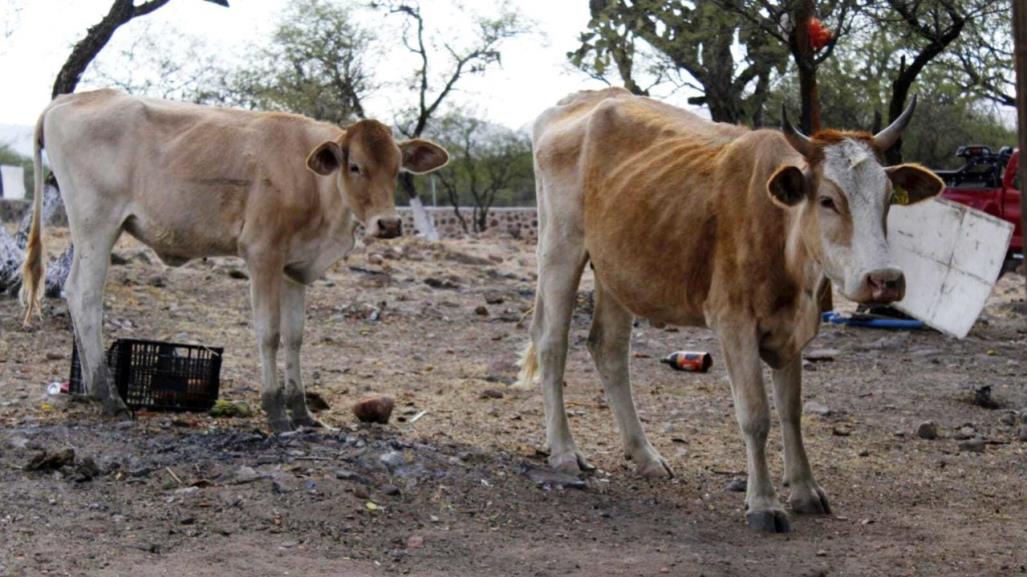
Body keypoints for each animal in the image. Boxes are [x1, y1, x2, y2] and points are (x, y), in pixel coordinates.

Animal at [20, 88, 445, 431]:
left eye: (397, 169)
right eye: (355, 166)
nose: (389, 223)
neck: (316, 186)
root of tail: (71, 98)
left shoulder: (295, 270)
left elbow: (294, 337)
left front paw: (302, 412)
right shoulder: (262, 255)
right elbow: (269, 334)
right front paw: (275, 412)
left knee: (74, 294)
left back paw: (90, 392)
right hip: (97, 225)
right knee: (85, 296)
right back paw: (109, 398)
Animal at [517, 87, 940, 533]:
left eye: (888, 199)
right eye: (827, 200)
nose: (885, 279)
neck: (782, 235)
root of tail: (584, 98)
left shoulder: (792, 329)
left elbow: (791, 411)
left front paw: (805, 490)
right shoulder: (734, 323)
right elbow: (756, 414)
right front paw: (764, 503)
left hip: (618, 268)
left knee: (609, 349)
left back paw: (645, 455)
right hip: (561, 247)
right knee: (552, 343)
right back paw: (564, 451)